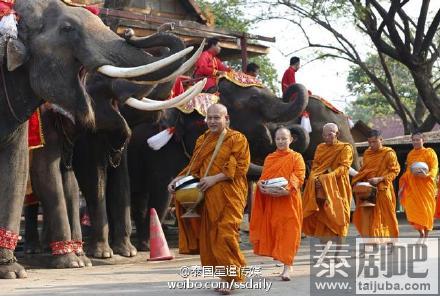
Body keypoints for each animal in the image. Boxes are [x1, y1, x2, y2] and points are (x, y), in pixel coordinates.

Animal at [0, 0, 201, 280]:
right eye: (67, 29)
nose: (129, 32)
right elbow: (59, 175)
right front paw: (94, 256)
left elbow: (49, 176)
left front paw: (86, 259)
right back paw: (33, 250)